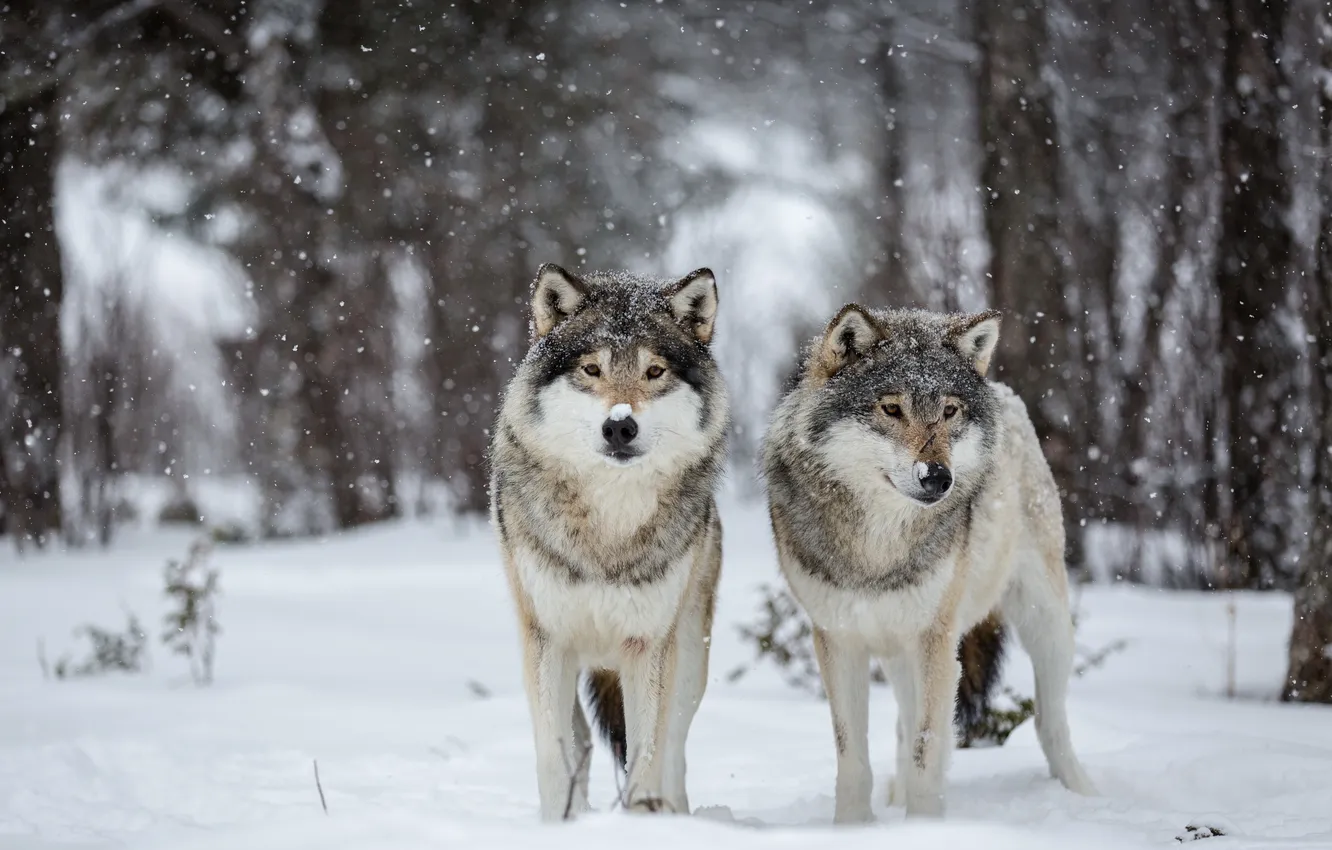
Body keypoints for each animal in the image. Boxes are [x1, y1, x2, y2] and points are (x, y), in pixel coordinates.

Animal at [490, 263, 729, 820]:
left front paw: (641, 818)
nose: (620, 426)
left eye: (655, 372)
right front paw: (558, 823)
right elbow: (554, 756)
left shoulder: (648, 645)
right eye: (592, 369)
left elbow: (648, 754)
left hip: (689, 658)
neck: (609, 529)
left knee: (675, 748)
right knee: (578, 743)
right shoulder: (547, 641)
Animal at [767, 306, 1097, 826]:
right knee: (905, 724)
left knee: (1048, 721)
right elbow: (853, 756)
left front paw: (923, 827)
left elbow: (928, 747)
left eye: (948, 411)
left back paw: (1082, 796)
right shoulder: (838, 639)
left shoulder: (935, 640)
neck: (879, 545)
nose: (939, 477)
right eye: (891, 409)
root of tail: (1006, 393)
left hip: (1045, 623)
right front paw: (853, 828)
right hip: (900, 650)